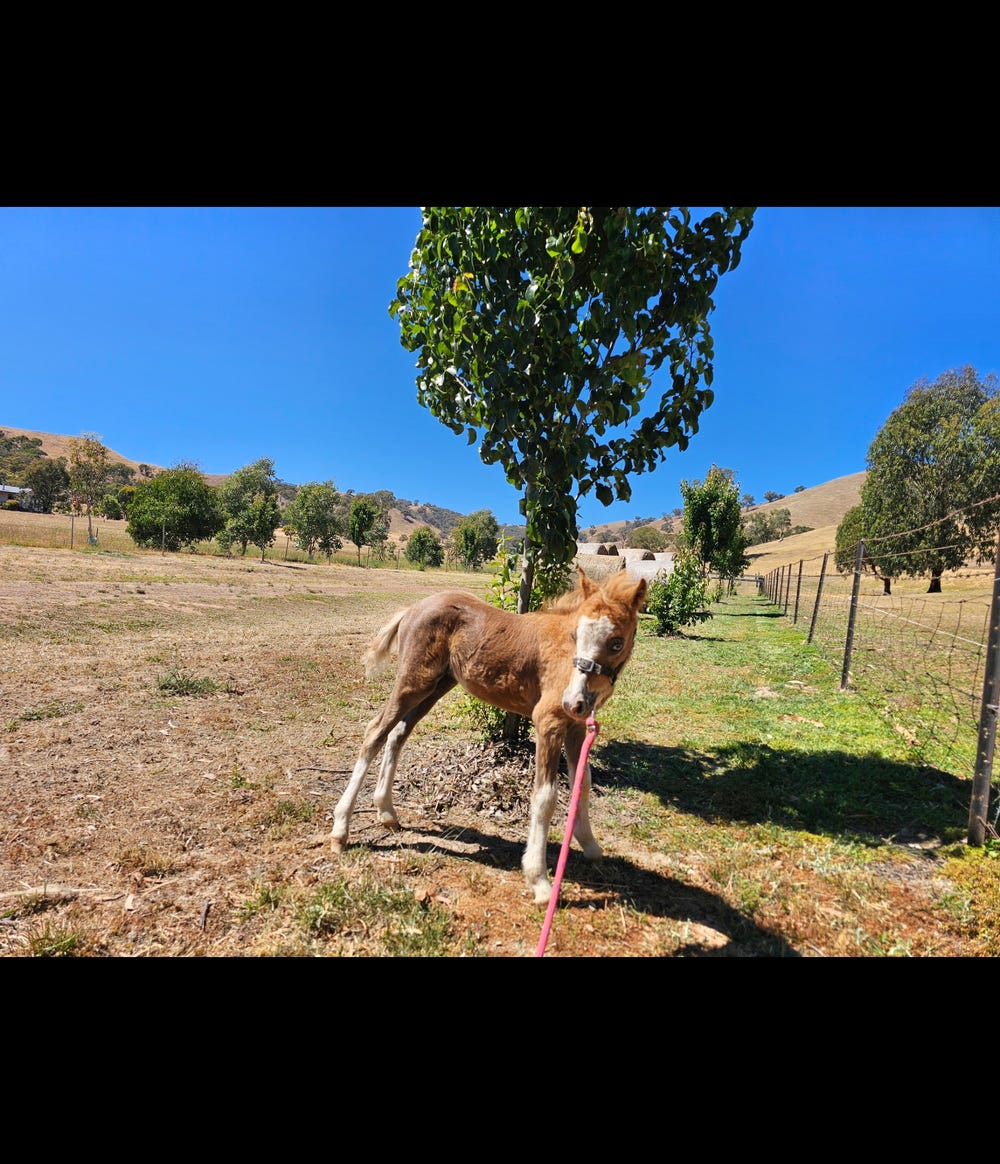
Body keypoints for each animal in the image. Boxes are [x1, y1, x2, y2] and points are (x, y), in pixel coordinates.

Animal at [330, 568, 648, 906]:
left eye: (616, 642)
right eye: (576, 636)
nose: (573, 701)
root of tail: (412, 608)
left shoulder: (576, 725)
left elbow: (582, 782)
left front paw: (590, 845)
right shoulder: (548, 721)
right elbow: (545, 796)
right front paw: (539, 880)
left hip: (437, 684)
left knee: (398, 734)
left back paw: (386, 812)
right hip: (413, 681)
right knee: (375, 732)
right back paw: (340, 830)